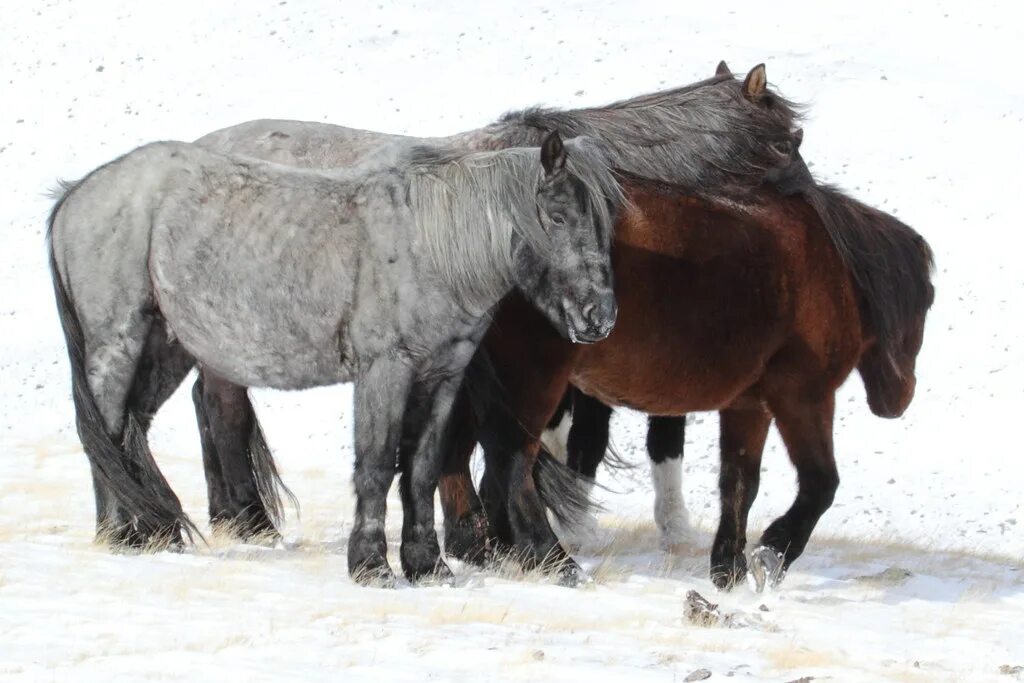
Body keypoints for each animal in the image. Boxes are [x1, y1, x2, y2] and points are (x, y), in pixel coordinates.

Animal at [49, 132, 622, 581]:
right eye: (557, 216)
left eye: (605, 222)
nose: (600, 316)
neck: (430, 247)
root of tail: (76, 192)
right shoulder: (384, 371)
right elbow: (377, 465)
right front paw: (371, 566)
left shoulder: (442, 376)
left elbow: (421, 468)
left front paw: (427, 566)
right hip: (118, 341)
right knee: (103, 430)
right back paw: (119, 534)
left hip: (166, 345)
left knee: (131, 429)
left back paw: (151, 530)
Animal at [440, 162, 937, 589]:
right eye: (929, 299)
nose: (899, 398)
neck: (825, 268)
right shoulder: (803, 398)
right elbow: (820, 484)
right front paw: (772, 554)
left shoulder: (749, 406)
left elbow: (739, 484)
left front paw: (729, 569)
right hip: (533, 379)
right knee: (511, 466)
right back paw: (554, 561)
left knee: (462, 459)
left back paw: (485, 549)